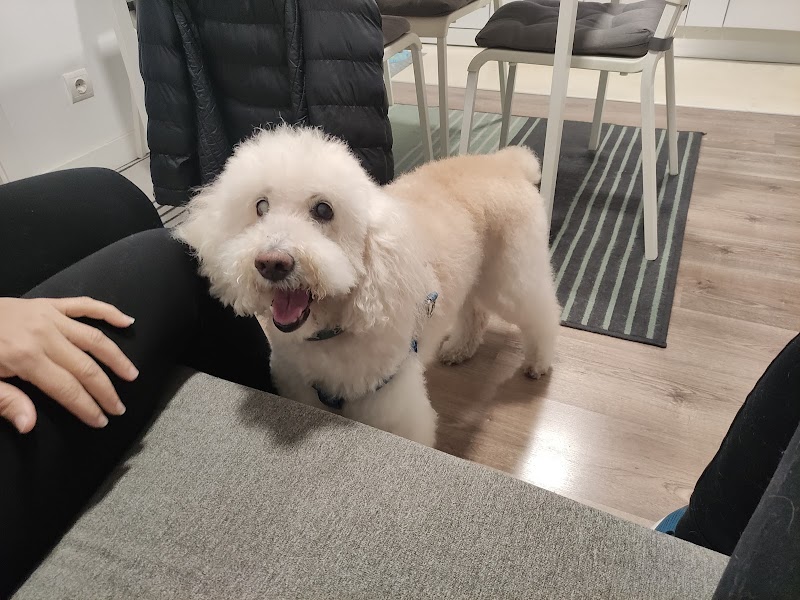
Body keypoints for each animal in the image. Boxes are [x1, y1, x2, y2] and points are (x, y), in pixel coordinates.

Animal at [177, 126, 560, 447]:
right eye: (260, 206)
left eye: (324, 210)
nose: (272, 263)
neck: (330, 336)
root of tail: (506, 161)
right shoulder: (297, 390)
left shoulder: (393, 408)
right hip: (477, 273)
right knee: (476, 312)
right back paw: (460, 349)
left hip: (510, 278)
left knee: (542, 313)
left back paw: (539, 362)